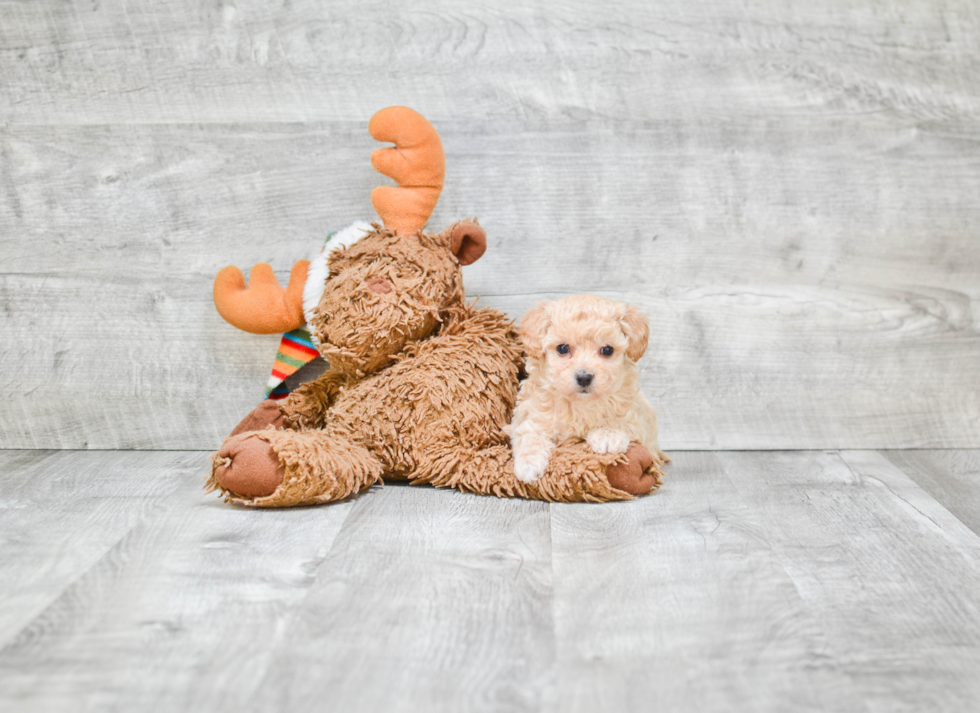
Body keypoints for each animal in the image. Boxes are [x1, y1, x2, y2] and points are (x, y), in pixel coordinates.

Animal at [506, 294, 660, 484]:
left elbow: (622, 420)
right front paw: (529, 463)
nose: (584, 377)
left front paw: (607, 434)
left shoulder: (638, 419)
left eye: (607, 350)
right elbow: (530, 435)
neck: (581, 404)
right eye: (563, 348)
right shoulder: (533, 416)